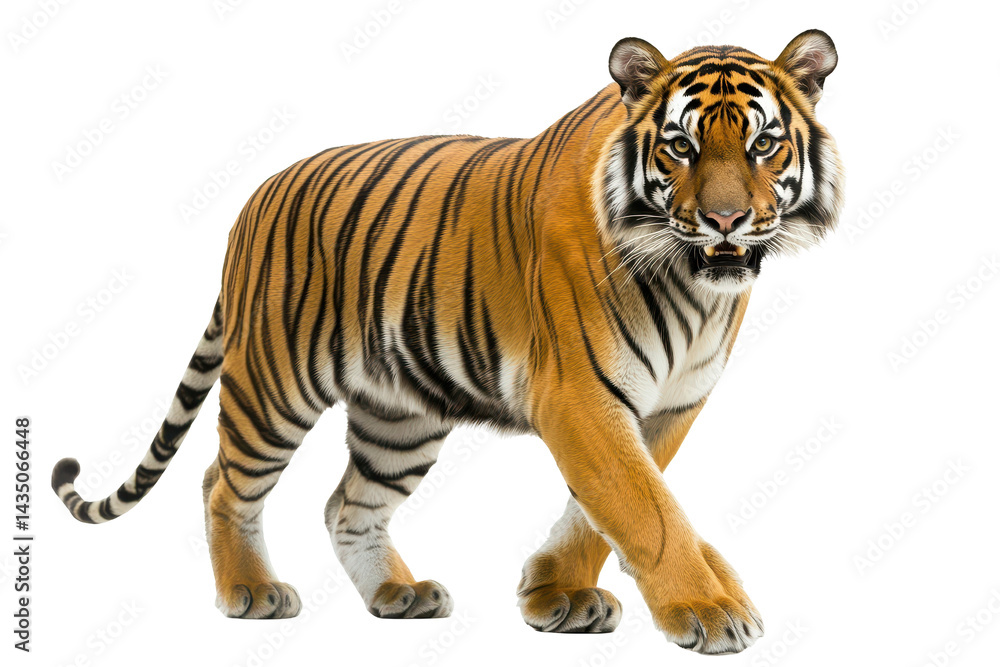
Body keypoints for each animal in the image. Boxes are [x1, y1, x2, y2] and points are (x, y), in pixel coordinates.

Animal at [52, 30, 844, 655]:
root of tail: (253, 202)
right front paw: (708, 608)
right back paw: (251, 591)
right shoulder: (580, 395)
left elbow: (609, 505)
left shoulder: (670, 405)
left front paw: (555, 593)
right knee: (223, 482)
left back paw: (398, 595)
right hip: (274, 385)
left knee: (348, 505)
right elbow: (645, 509)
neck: (692, 286)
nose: (725, 220)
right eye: (680, 146)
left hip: (399, 417)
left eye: (763, 144)